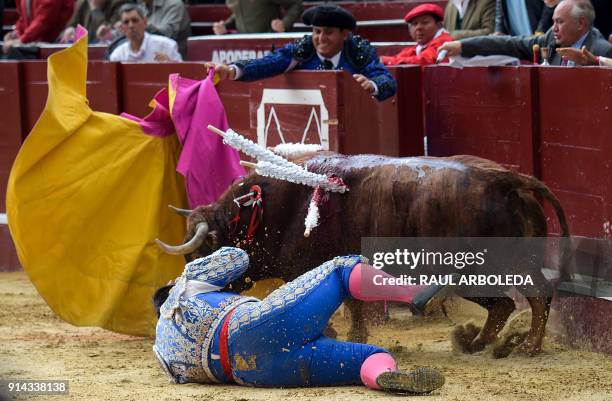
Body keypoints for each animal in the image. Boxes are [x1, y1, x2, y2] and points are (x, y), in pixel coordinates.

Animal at [155, 152, 572, 354]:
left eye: (199, 253)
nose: (175, 298)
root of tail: (505, 179)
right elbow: (354, 302)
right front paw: (356, 332)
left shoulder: (308, 266)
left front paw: (332, 331)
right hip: (517, 263)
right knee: (526, 300)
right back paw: (495, 344)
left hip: (479, 272)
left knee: (515, 301)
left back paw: (515, 345)